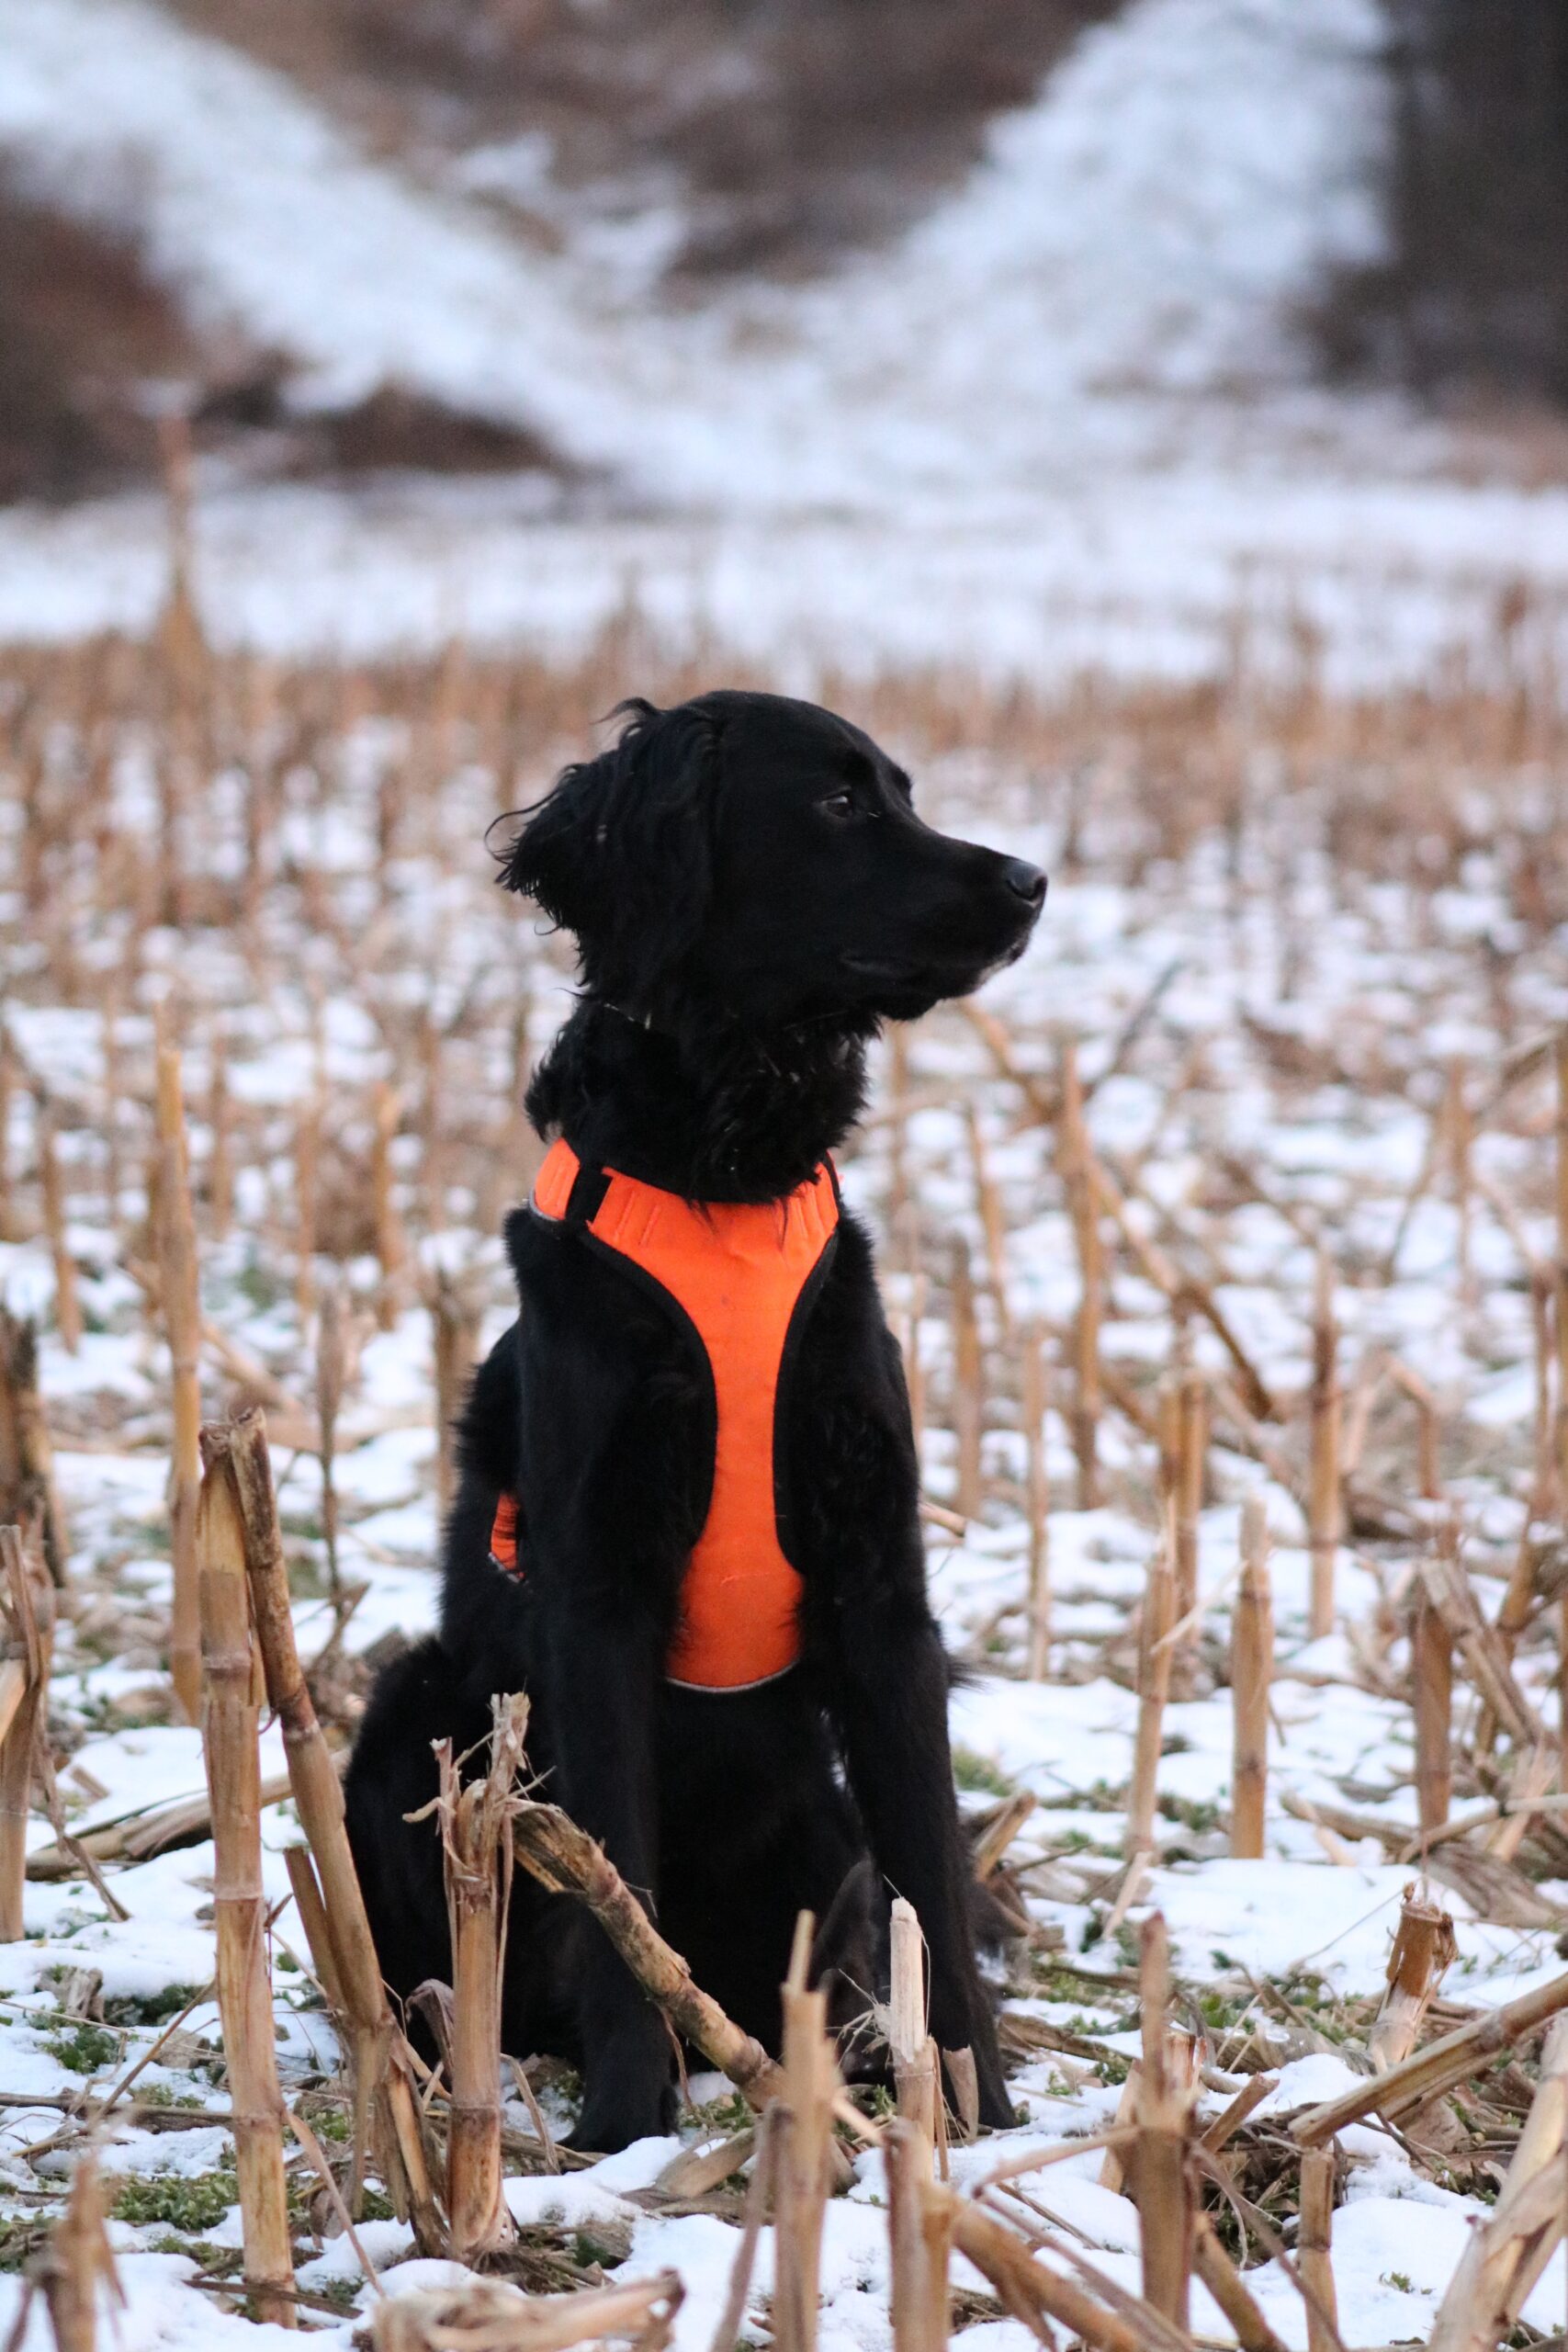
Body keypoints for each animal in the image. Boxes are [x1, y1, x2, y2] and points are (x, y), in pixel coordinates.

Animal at [345, 690, 1045, 2153]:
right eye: (837, 801)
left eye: (904, 787)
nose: (1029, 882)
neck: (730, 1171)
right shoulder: (598, 1593)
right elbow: (619, 1881)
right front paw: (625, 2125)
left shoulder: (882, 1589)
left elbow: (932, 1877)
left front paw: (984, 2113)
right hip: (411, 1702)